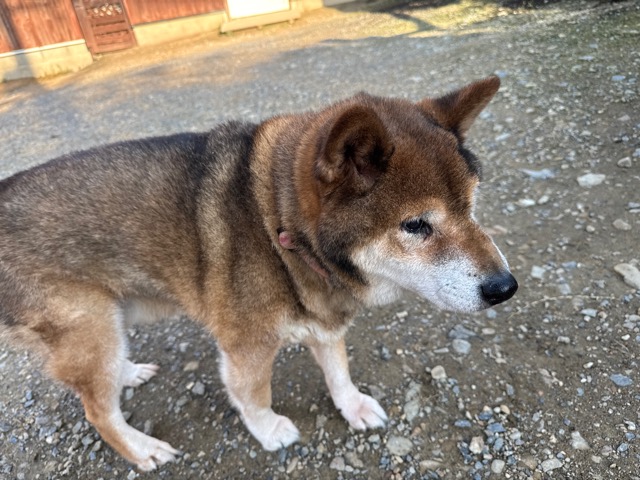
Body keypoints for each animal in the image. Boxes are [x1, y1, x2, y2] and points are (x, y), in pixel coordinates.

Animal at [0, 76, 517, 470]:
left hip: (110, 319)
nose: (505, 288)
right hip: (92, 328)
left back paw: (128, 373)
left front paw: (352, 406)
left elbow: (339, 371)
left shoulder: (324, 320)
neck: (278, 226)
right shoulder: (246, 347)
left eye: (471, 207)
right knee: (99, 413)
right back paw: (142, 449)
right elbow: (254, 395)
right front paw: (269, 431)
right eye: (415, 225)